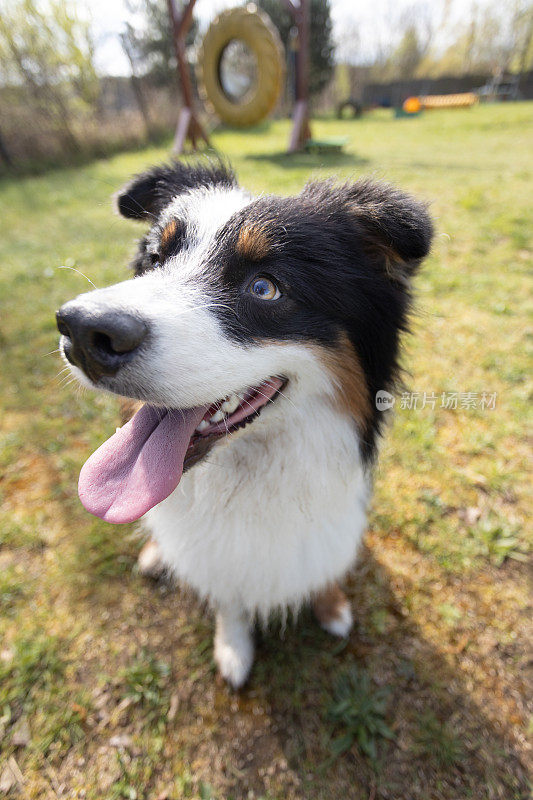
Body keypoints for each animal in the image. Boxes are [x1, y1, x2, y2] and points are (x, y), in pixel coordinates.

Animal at [57, 161, 432, 688]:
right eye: (154, 260)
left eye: (264, 288)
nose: (81, 331)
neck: (250, 478)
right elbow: (229, 598)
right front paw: (234, 648)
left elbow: (326, 567)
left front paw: (332, 606)